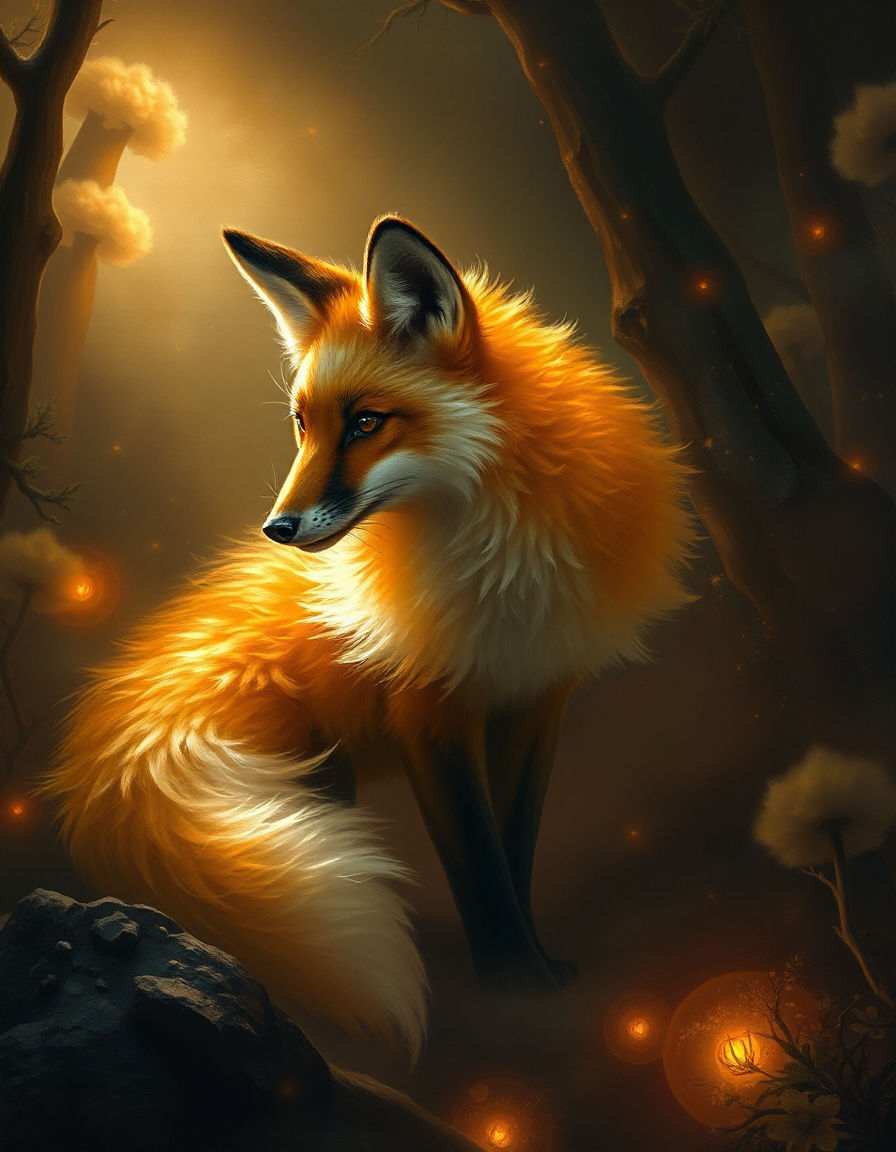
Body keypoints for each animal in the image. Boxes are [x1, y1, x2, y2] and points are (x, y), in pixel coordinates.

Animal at [44, 216, 693, 1058]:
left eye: (365, 422)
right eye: (302, 423)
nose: (278, 528)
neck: (504, 573)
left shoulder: (536, 705)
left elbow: (513, 848)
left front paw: (534, 963)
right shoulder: (429, 713)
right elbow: (476, 858)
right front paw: (511, 979)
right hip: (316, 780)